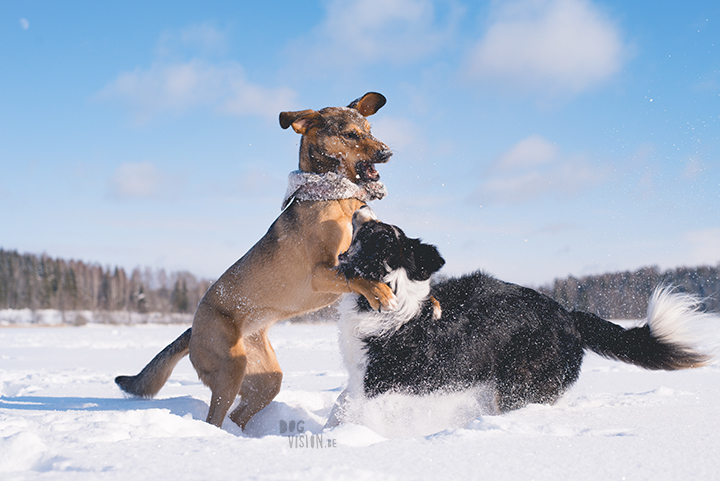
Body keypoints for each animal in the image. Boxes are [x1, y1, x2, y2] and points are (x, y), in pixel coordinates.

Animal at [119, 93, 400, 428]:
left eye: (370, 129)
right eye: (350, 134)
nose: (387, 152)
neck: (336, 198)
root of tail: (192, 328)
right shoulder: (320, 272)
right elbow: (356, 275)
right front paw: (380, 294)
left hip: (264, 377)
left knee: (239, 415)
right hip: (229, 368)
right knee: (216, 417)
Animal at [330, 206, 712, 424]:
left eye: (374, 231)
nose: (361, 209)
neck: (389, 293)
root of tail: (569, 316)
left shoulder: (380, 384)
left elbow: (354, 409)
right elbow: (340, 402)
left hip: (520, 384)